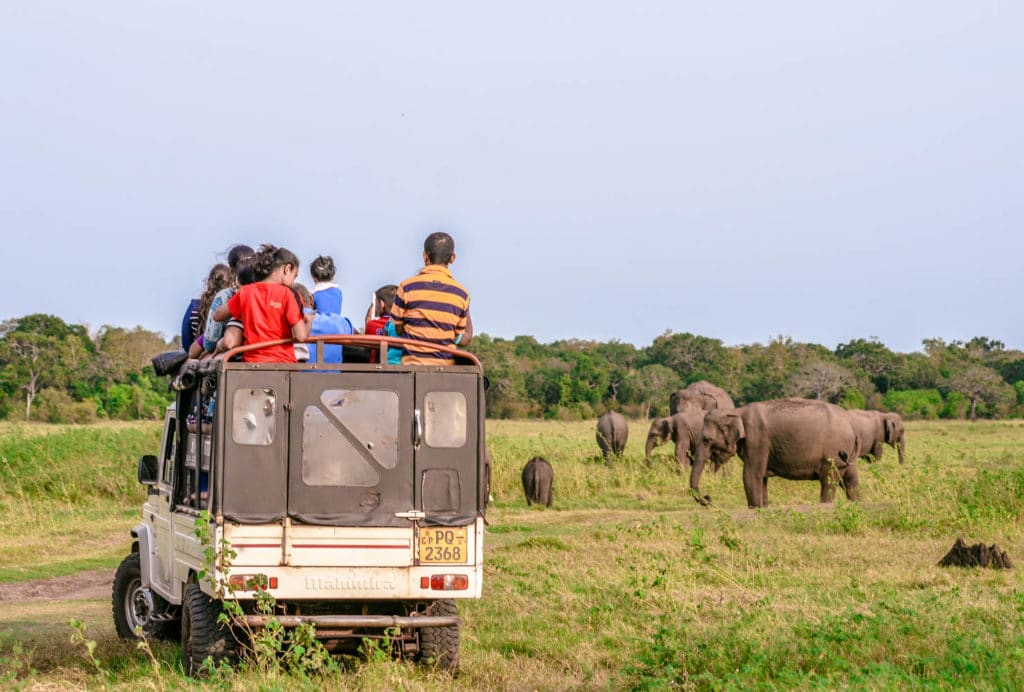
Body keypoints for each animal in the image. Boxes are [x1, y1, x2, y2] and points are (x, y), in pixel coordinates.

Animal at [688, 395, 864, 507]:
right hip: (846, 453)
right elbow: (762, 478)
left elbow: (751, 475)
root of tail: (852, 426)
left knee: (828, 480)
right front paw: (763, 507)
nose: (708, 498)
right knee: (851, 481)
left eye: (706, 439)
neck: (737, 411)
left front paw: (755, 508)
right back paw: (856, 503)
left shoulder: (757, 439)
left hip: (833, 452)